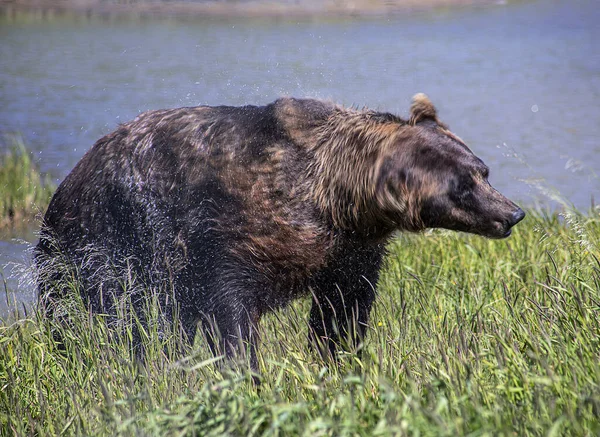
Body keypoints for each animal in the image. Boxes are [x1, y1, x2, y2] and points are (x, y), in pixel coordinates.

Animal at [36, 94, 524, 364]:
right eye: (463, 186)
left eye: (482, 170)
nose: (512, 213)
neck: (335, 198)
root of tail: (62, 188)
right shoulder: (226, 228)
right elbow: (228, 308)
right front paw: (244, 370)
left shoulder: (348, 248)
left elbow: (342, 311)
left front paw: (338, 360)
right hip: (97, 241)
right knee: (106, 318)